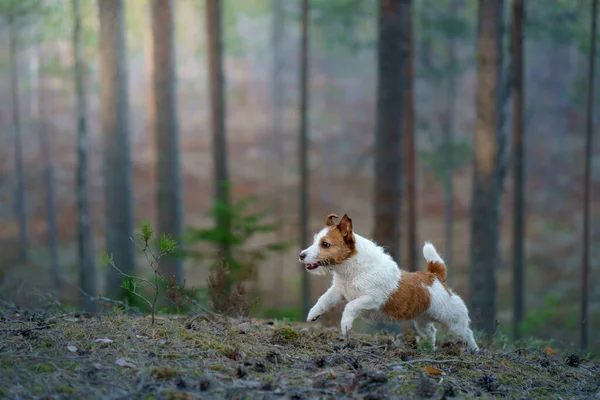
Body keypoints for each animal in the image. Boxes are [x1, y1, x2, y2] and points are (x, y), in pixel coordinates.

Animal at [298, 214, 478, 352]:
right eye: (315, 241)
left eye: (325, 244)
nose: (301, 255)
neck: (352, 270)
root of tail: (435, 275)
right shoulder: (338, 291)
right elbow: (324, 299)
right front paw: (314, 313)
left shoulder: (372, 298)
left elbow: (350, 306)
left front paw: (346, 324)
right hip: (422, 321)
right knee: (432, 332)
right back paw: (429, 349)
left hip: (454, 322)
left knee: (468, 333)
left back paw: (473, 350)